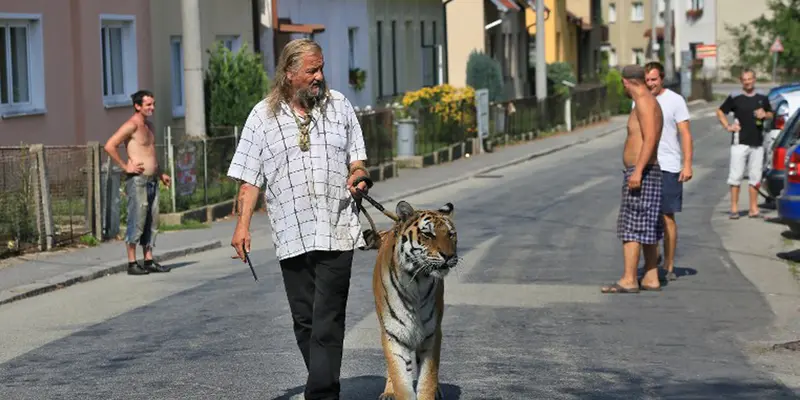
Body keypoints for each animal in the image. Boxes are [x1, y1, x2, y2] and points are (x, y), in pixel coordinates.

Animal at [372, 200, 460, 400]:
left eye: (451, 234)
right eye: (428, 234)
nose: (449, 256)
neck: (417, 282)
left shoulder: (431, 335)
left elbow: (428, 378)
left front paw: (430, 391)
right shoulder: (394, 335)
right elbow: (400, 379)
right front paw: (396, 390)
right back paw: (389, 392)